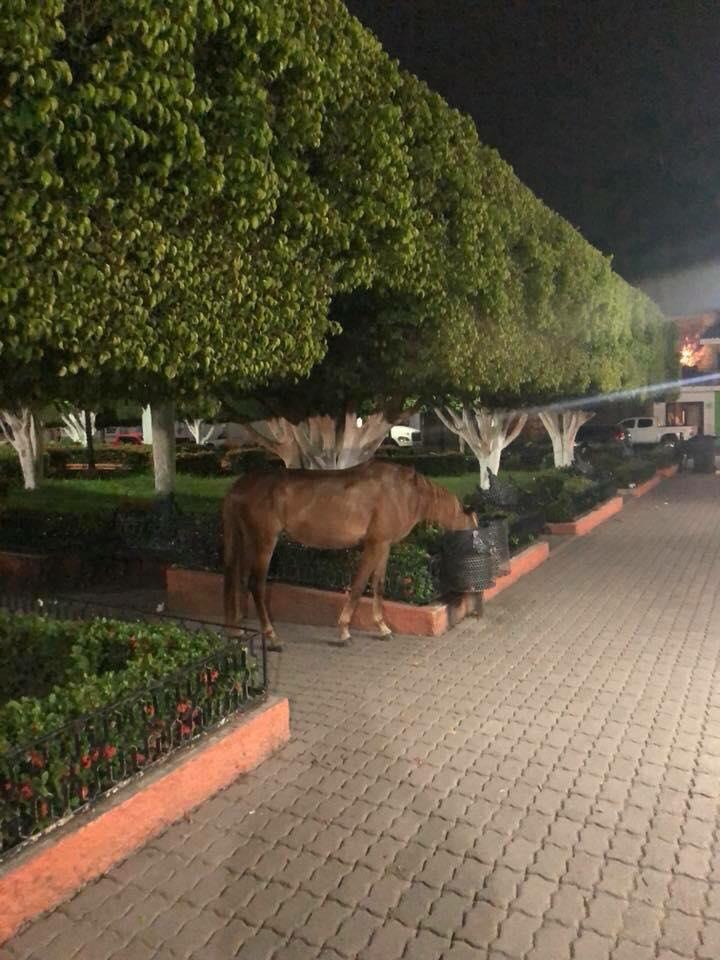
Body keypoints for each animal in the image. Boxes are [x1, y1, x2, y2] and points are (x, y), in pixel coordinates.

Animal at [222, 462, 476, 648]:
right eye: (474, 530)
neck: (405, 493)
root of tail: (238, 486)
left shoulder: (384, 545)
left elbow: (378, 584)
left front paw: (382, 628)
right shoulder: (374, 544)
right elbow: (359, 585)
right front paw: (344, 631)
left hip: (246, 540)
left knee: (237, 580)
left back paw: (238, 630)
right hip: (264, 541)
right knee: (256, 585)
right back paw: (272, 637)